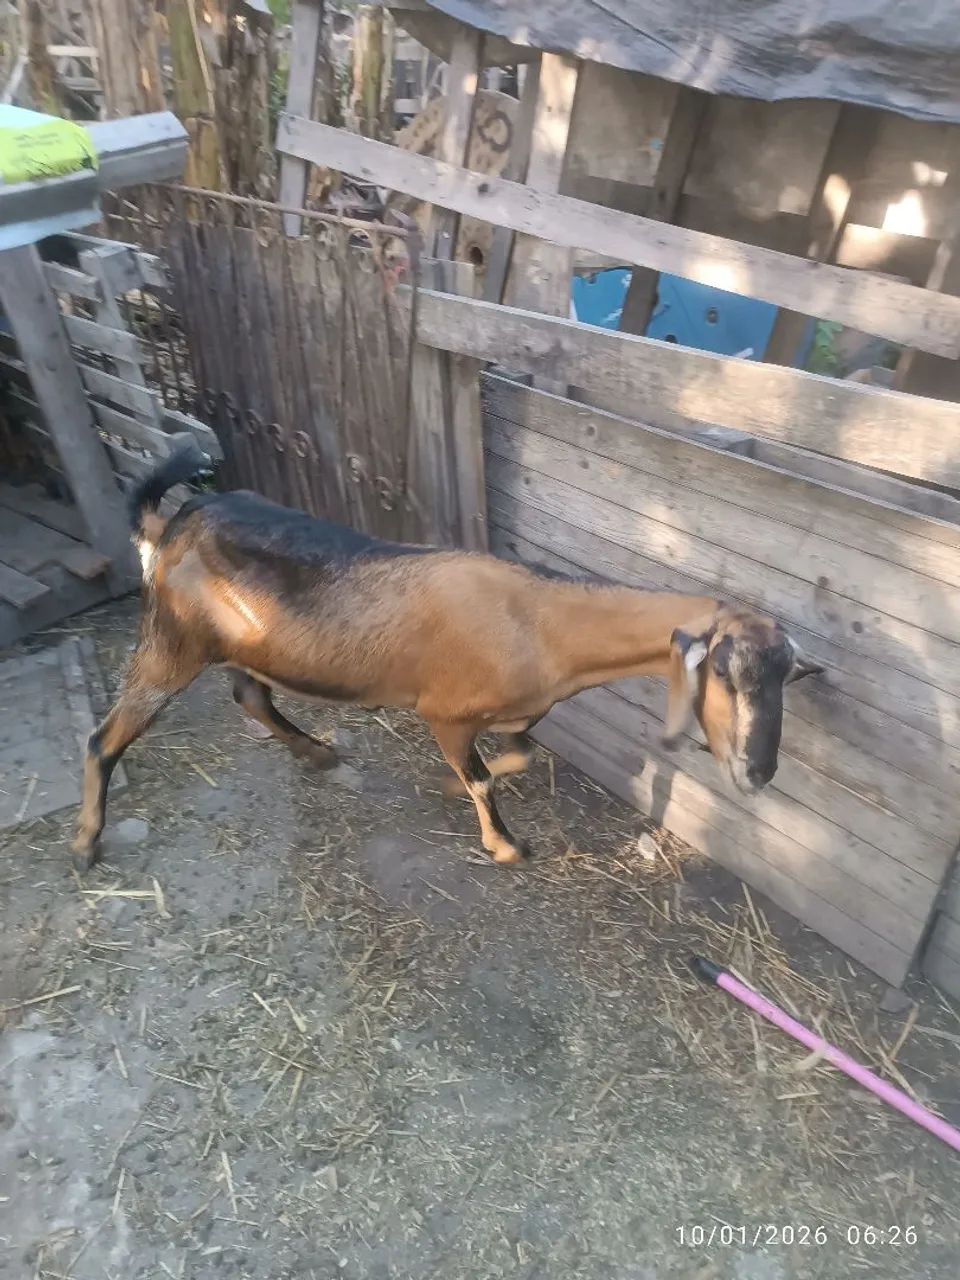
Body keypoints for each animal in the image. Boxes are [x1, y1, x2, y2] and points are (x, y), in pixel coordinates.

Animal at [72, 441, 823, 872]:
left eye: (789, 676)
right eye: (723, 671)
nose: (759, 772)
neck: (542, 621)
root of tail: (172, 522)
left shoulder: (511, 713)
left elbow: (518, 756)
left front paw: (450, 785)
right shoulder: (446, 713)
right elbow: (487, 778)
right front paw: (506, 845)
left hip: (238, 645)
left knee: (251, 695)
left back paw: (317, 753)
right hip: (170, 643)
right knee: (105, 736)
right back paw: (84, 844)